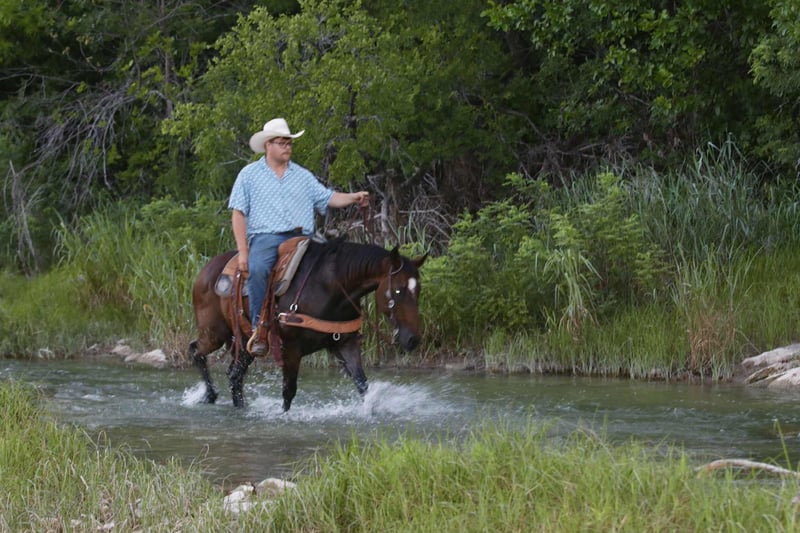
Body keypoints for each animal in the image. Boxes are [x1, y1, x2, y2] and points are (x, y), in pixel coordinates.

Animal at [189, 237, 426, 411]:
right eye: (398, 291)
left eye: (417, 290)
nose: (412, 339)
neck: (330, 287)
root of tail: (204, 271)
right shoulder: (291, 348)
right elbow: (289, 391)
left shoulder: (345, 343)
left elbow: (362, 384)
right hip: (214, 333)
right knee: (196, 351)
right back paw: (209, 395)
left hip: (246, 342)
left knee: (234, 375)